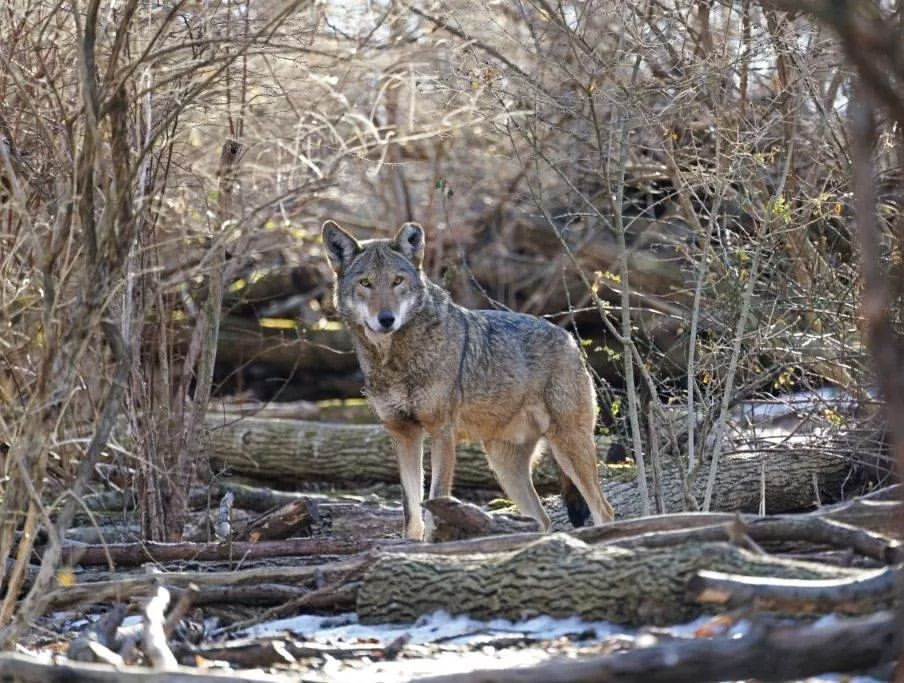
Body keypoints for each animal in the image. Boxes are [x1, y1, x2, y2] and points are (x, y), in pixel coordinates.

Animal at [320, 219, 616, 540]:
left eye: (397, 281)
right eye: (366, 283)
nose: (386, 319)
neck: (394, 361)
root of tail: (570, 339)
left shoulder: (442, 431)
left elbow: (435, 501)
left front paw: (433, 544)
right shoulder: (402, 433)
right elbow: (411, 510)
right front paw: (411, 544)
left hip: (568, 446)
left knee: (603, 510)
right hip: (505, 468)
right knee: (543, 521)